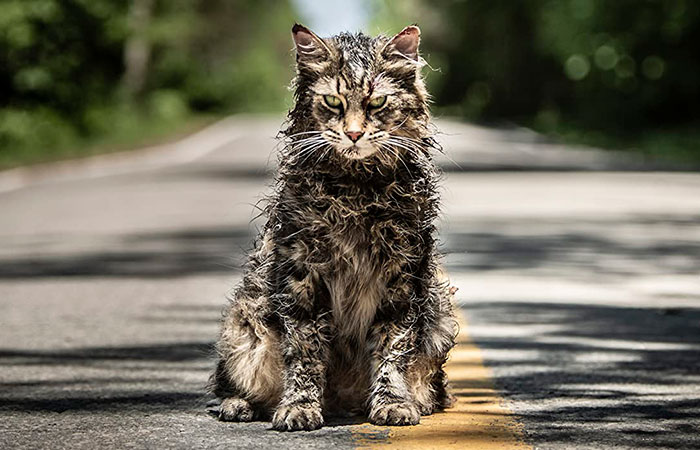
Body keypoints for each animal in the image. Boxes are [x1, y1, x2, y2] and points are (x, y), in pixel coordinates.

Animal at [209, 22, 460, 430]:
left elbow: (392, 348)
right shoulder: (302, 276)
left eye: (377, 104)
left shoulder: (403, 276)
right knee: (231, 383)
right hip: (243, 325)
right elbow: (305, 351)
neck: (356, 191)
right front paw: (299, 407)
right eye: (333, 102)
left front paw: (392, 403)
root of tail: (342, 402)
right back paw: (240, 405)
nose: (354, 134)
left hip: (440, 313)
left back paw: (414, 402)